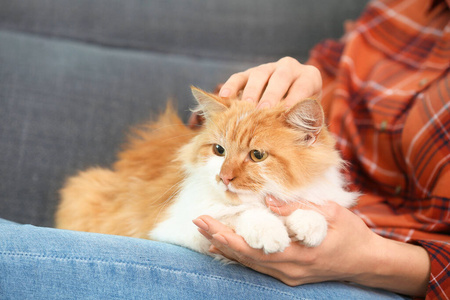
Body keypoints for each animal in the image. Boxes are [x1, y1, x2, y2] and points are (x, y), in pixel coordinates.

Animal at [56, 86, 358, 255]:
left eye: (257, 155)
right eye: (219, 150)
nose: (224, 177)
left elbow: (311, 209)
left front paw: (308, 226)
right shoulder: (174, 226)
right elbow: (238, 215)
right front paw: (270, 231)